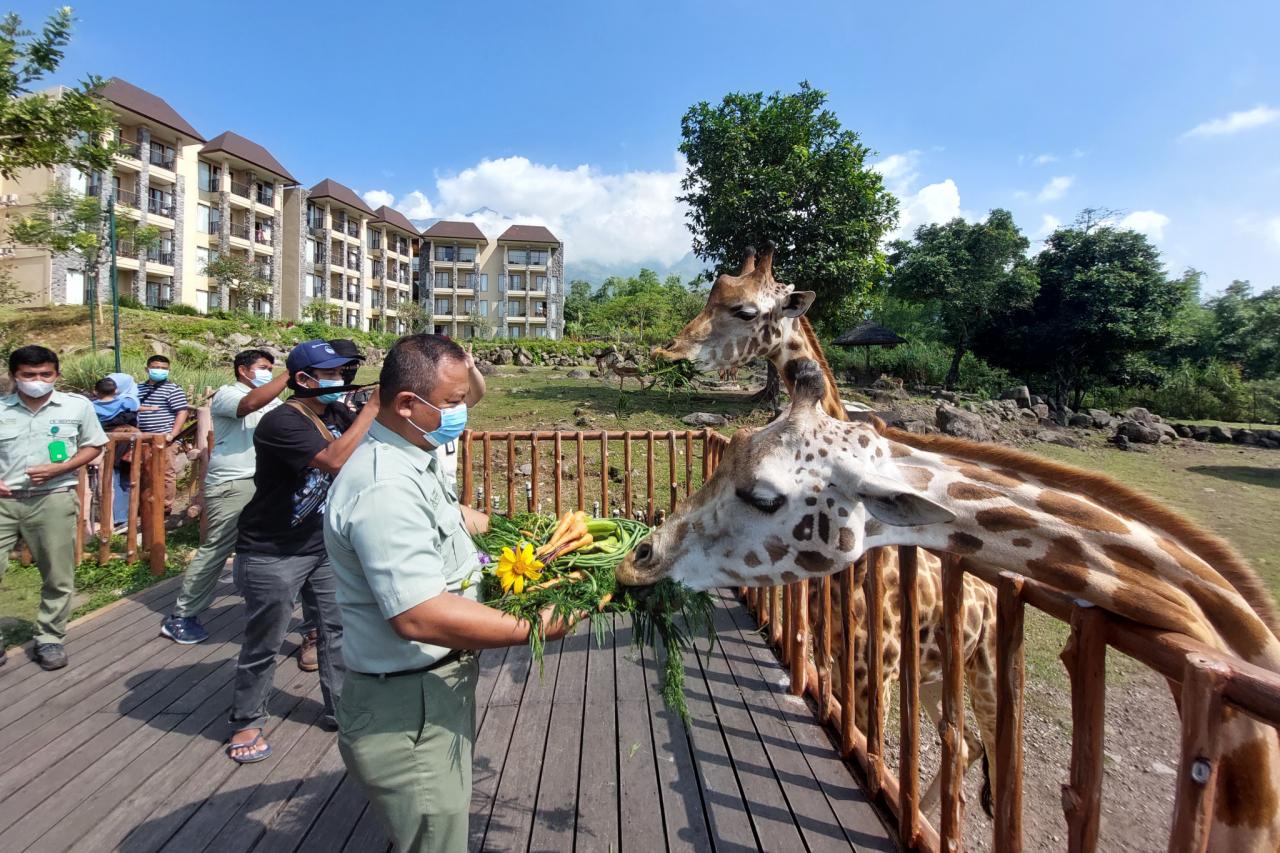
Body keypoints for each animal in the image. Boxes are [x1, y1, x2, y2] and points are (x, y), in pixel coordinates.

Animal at [618, 358, 1280, 851]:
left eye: (762, 496)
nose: (637, 559)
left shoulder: (876, 673)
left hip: (982, 674)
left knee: (986, 751)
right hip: (939, 675)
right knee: (960, 744)